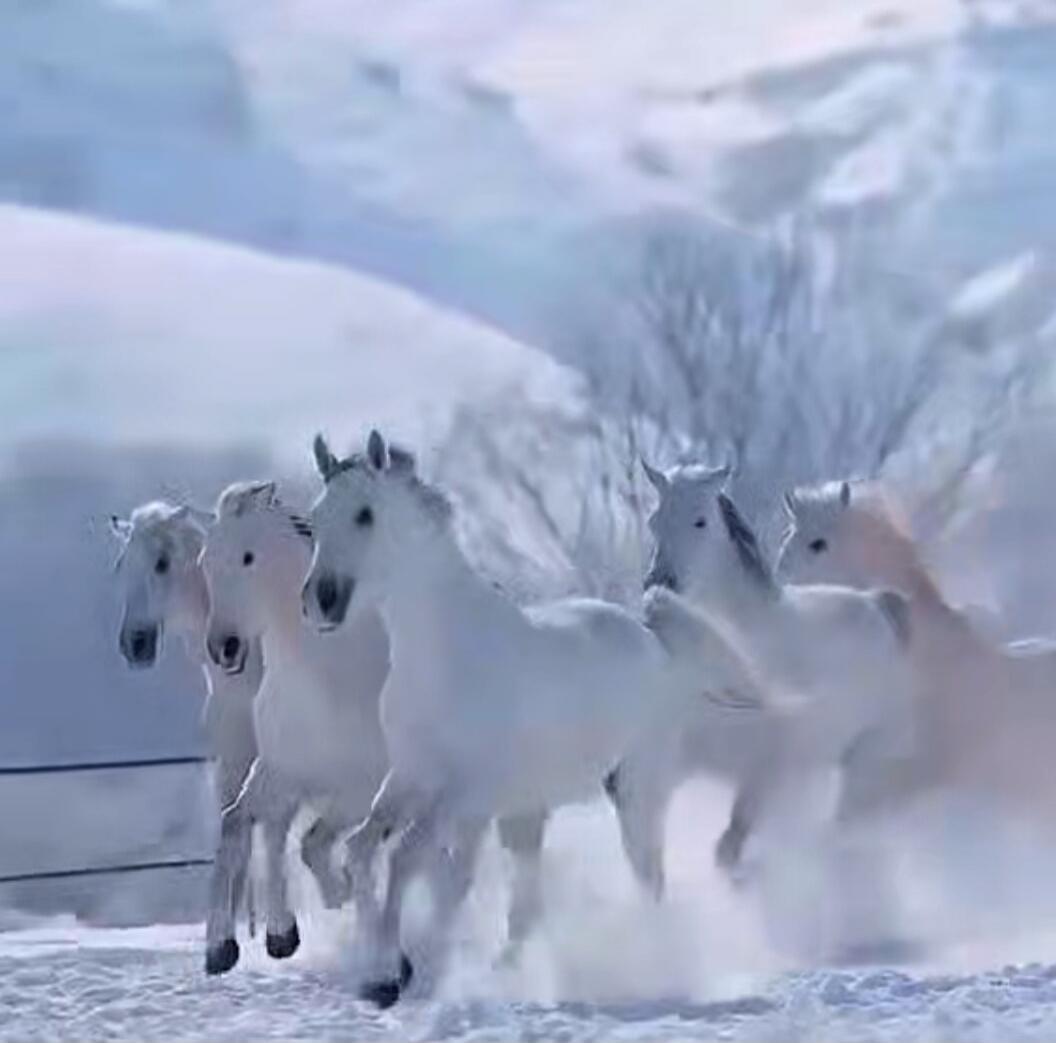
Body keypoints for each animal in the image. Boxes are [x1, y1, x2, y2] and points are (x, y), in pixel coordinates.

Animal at [110, 501, 307, 974]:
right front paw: (234, 942)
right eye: (122, 565)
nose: (135, 643)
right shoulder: (236, 758)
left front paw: (271, 935)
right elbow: (236, 834)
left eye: (162, 563)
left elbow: (266, 829)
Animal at [300, 431, 748, 1005]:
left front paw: (398, 972)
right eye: (315, 517)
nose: (323, 600)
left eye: (365, 514)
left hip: (635, 790)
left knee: (647, 877)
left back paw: (652, 964)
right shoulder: (410, 778)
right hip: (525, 814)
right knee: (527, 909)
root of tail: (653, 638)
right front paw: (383, 970)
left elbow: (407, 859)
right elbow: (363, 850)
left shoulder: (466, 793)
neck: (445, 655)